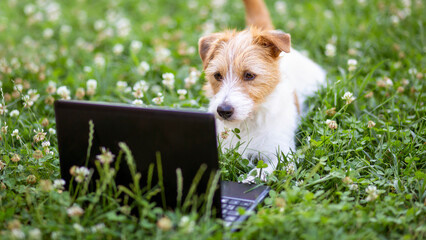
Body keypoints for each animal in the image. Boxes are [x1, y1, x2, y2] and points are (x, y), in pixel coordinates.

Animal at [198, 0, 324, 180]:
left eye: (249, 75)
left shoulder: (283, 155)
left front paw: (249, 180)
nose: (223, 110)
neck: (248, 121)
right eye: (217, 75)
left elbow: (263, 171)